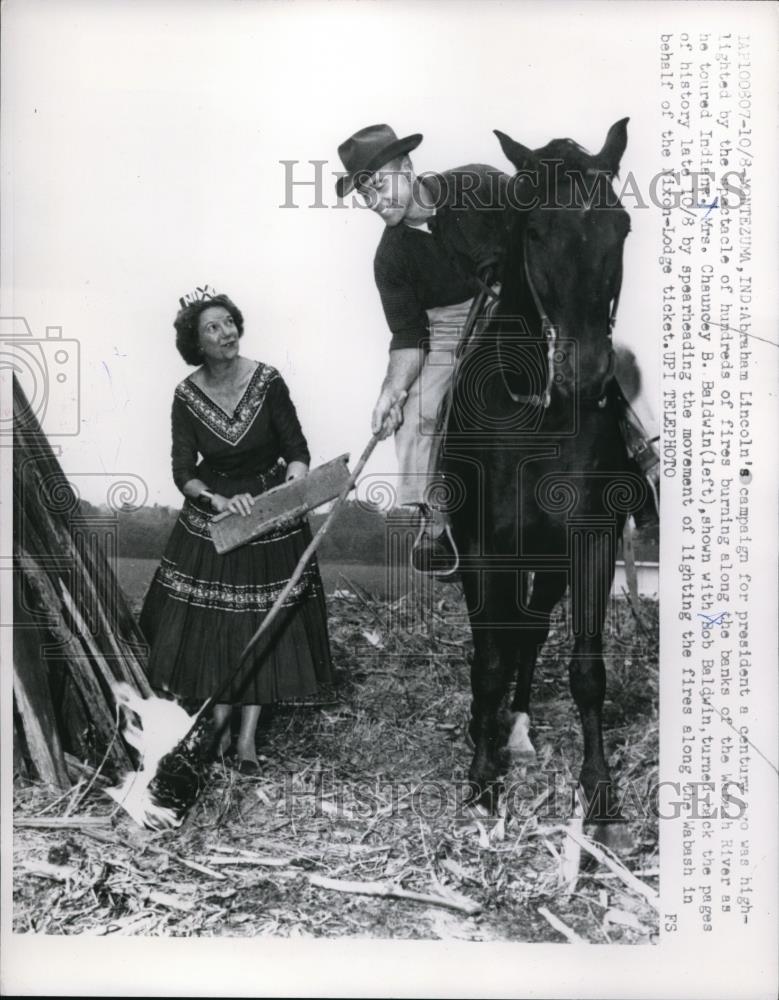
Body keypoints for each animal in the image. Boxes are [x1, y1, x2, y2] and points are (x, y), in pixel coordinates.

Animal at [442, 119, 648, 820]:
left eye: (621, 225)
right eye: (533, 231)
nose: (587, 374)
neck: (537, 419)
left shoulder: (589, 541)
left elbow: (585, 667)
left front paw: (599, 786)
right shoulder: (484, 549)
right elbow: (486, 661)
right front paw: (482, 774)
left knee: (529, 632)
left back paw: (521, 726)